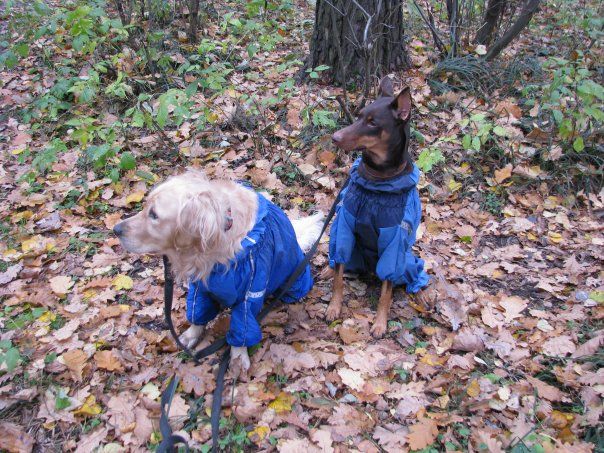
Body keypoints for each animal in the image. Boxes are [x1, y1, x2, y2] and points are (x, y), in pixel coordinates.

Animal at [112, 170, 320, 370]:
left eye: (154, 214)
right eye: (145, 206)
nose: (116, 229)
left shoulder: (250, 293)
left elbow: (242, 327)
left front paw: (238, 358)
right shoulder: (200, 288)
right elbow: (197, 313)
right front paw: (190, 336)